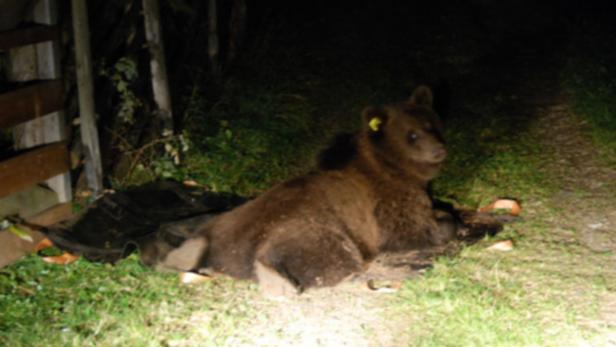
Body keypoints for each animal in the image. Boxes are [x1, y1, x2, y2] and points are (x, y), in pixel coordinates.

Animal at [146, 85, 452, 294]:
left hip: (223, 223)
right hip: (315, 232)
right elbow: (415, 232)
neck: (393, 168)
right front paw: (448, 222)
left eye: (432, 125)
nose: (440, 150)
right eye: (412, 134)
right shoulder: (387, 206)